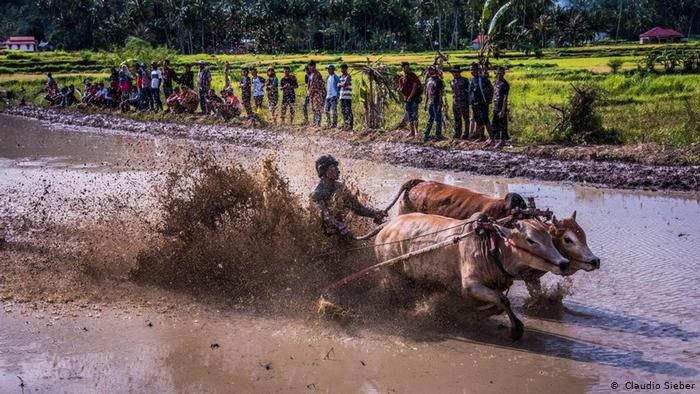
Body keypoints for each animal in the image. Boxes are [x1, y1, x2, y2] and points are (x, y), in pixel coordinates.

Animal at [378, 212, 568, 338]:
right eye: (530, 240)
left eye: (550, 238)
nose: (564, 263)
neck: (492, 248)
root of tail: (385, 229)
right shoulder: (470, 285)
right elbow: (503, 300)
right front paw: (516, 328)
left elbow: (499, 304)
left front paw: (472, 315)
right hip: (394, 274)